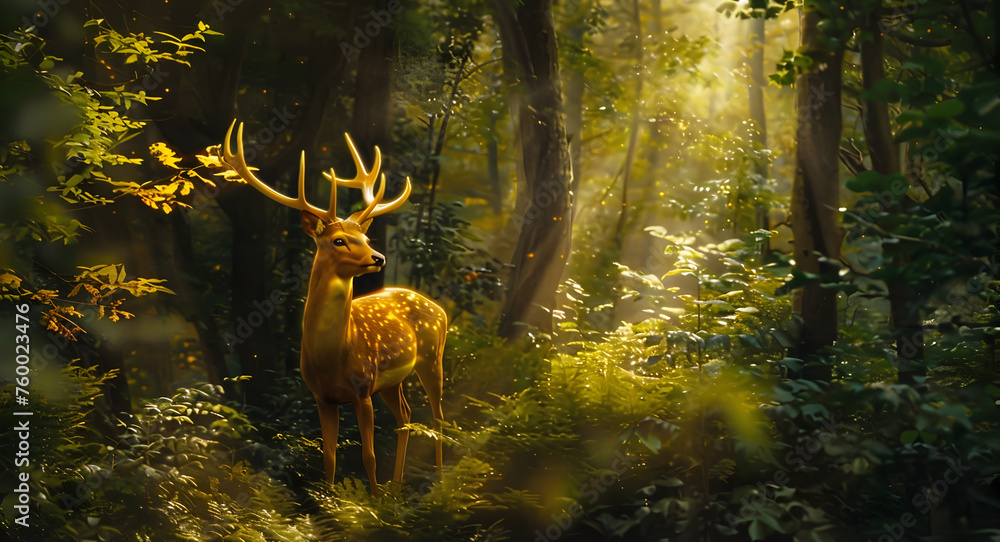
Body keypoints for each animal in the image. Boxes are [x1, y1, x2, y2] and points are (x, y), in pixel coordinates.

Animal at [221, 120, 447, 494]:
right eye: (339, 240)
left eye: (366, 238)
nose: (378, 257)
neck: (331, 357)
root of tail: (439, 308)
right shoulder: (321, 397)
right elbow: (329, 458)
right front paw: (330, 504)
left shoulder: (362, 389)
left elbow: (368, 456)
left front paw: (371, 501)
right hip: (393, 381)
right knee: (406, 415)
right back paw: (398, 484)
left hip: (431, 356)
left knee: (439, 417)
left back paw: (439, 481)